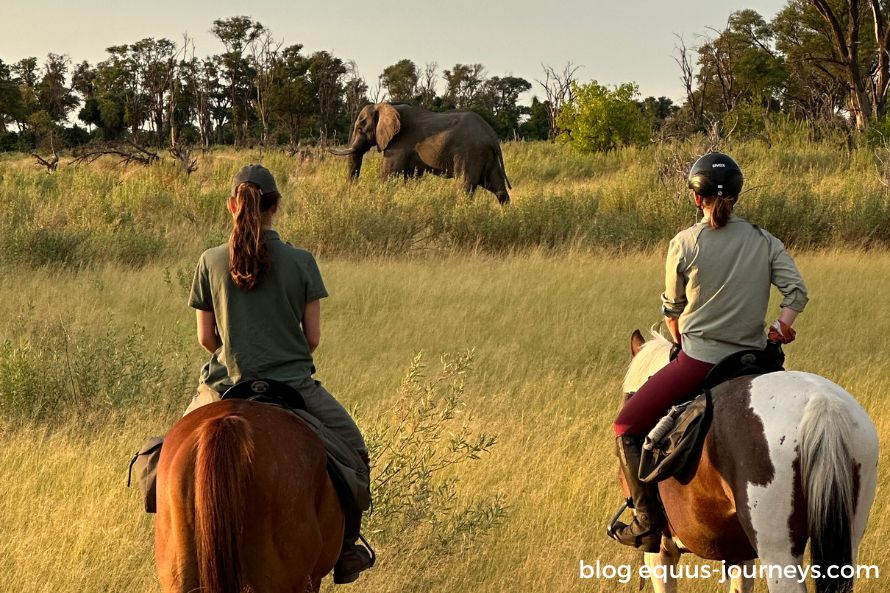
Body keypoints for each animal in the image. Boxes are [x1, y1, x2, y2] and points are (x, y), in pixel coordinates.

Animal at [330, 102, 510, 204]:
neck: (385, 105)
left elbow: (388, 174)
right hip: (487, 157)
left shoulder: (399, 144)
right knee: (498, 188)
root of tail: (491, 135)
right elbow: (411, 177)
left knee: (464, 186)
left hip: (470, 153)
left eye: (360, 129)